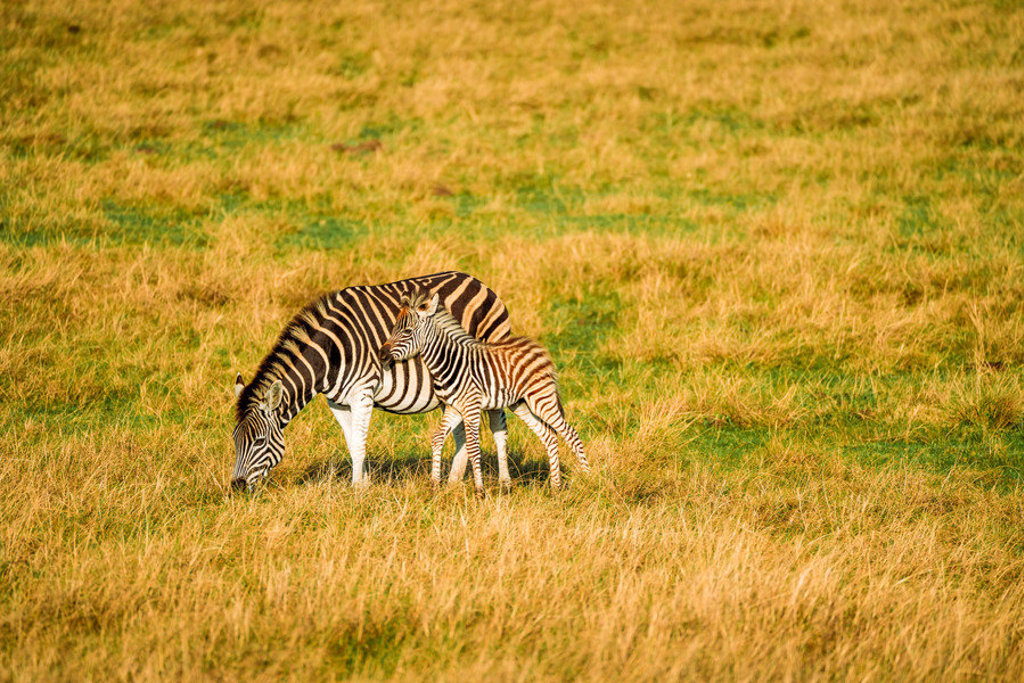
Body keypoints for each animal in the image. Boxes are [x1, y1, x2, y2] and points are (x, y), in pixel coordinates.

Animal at [231, 271, 514, 491]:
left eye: (259, 441)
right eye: (235, 440)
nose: (237, 486)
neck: (330, 353)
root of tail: (479, 283)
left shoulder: (363, 392)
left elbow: (359, 443)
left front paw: (357, 491)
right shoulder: (338, 401)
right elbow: (352, 442)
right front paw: (364, 484)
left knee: (497, 425)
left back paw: (503, 482)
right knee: (462, 432)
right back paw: (453, 482)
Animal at [379, 289, 590, 496]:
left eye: (407, 331)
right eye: (393, 329)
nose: (381, 354)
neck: (447, 363)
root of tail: (538, 347)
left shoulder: (471, 406)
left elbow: (473, 448)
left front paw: (479, 490)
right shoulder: (454, 408)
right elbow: (437, 438)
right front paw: (435, 485)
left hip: (541, 397)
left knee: (570, 434)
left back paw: (587, 479)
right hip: (520, 403)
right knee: (549, 435)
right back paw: (555, 487)